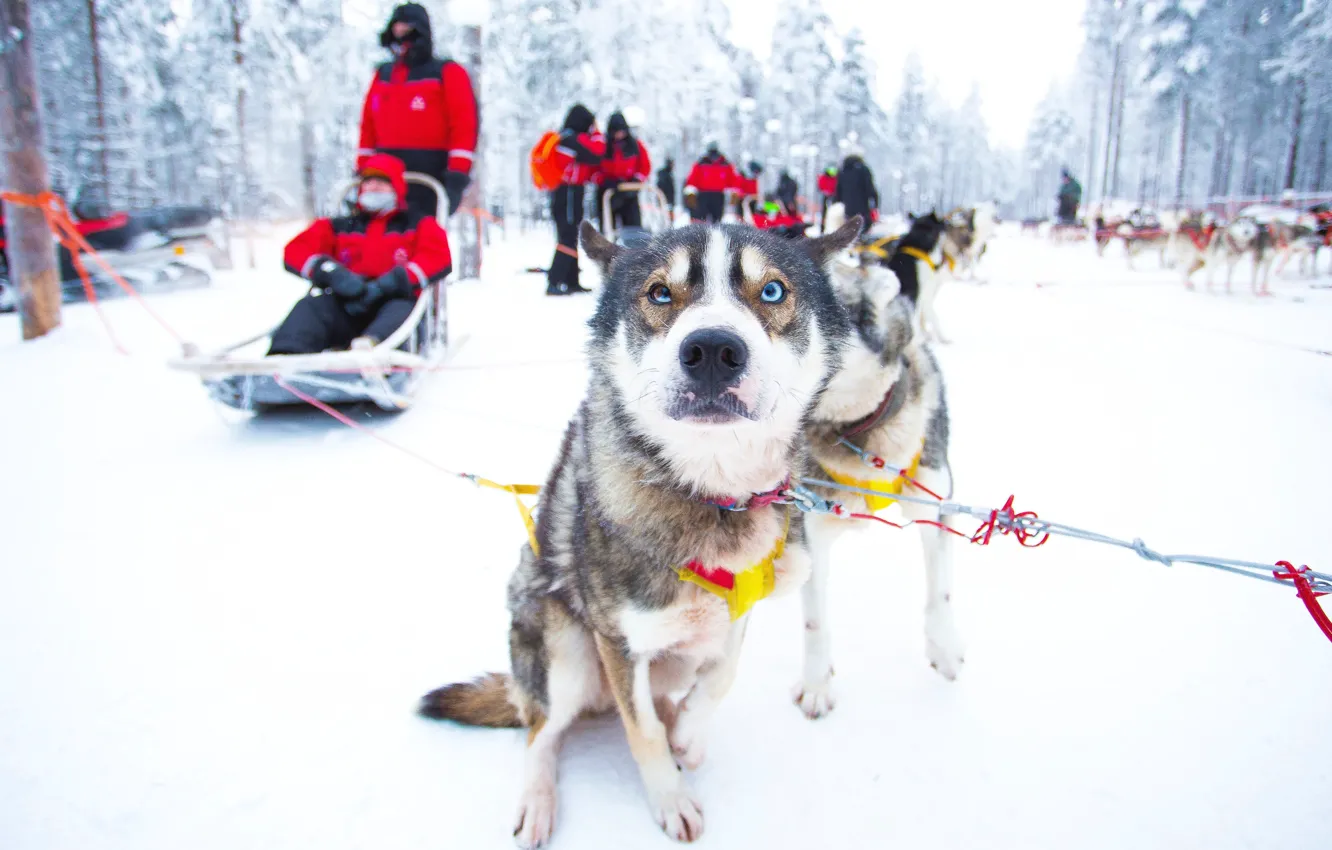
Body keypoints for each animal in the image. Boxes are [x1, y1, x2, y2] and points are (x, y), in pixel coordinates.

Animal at [418, 218, 863, 847]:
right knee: (541, 730)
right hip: (565, 652)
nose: (712, 351)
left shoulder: (735, 613)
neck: (709, 493)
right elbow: (642, 731)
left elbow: (722, 674)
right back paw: (538, 797)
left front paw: (691, 735)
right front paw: (669, 797)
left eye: (773, 291)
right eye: (658, 293)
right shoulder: (618, 641)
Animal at [793, 239, 964, 719]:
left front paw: (945, 649)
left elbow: (940, 592)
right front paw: (817, 684)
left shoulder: (934, 508)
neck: (858, 436)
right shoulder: (809, 531)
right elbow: (815, 621)